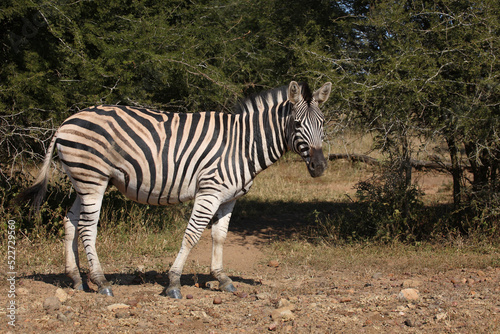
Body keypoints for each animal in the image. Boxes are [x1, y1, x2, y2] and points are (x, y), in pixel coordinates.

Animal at [19, 80, 332, 298]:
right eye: (296, 123)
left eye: (322, 124)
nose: (319, 167)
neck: (244, 144)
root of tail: (65, 123)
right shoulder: (209, 191)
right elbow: (192, 236)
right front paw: (173, 283)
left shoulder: (228, 198)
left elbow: (219, 237)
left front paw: (222, 278)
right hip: (92, 178)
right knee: (87, 227)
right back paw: (101, 281)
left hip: (82, 181)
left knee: (70, 221)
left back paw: (75, 279)